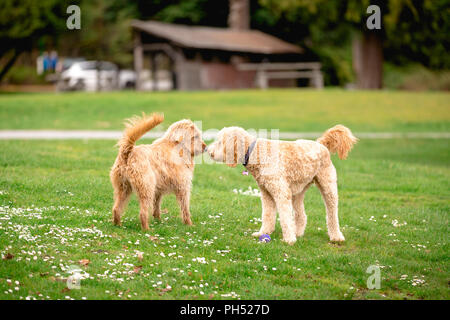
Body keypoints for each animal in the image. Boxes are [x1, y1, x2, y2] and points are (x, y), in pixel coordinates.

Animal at [207, 124, 358, 244]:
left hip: (328, 185)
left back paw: (336, 236)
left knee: (332, 213)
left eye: (220, 142)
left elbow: (285, 217)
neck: (257, 153)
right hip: (298, 191)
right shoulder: (266, 193)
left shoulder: (281, 192)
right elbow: (267, 215)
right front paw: (263, 233)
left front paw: (289, 240)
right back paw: (298, 233)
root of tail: (321, 144)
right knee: (301, 215)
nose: (207, 150)